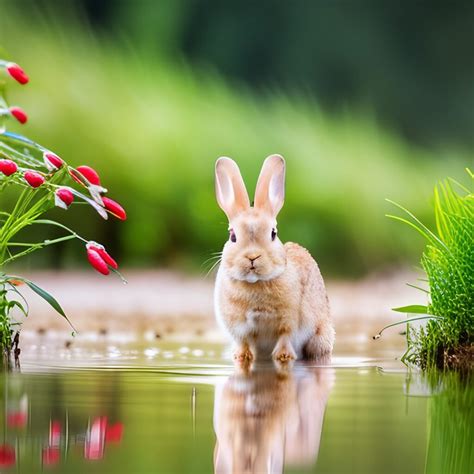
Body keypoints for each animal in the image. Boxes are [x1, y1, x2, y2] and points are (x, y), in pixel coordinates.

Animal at [213, 153, 336, 366]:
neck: (254, 284)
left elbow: (285, 338)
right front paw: (241, 357)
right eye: (232, 236)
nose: (252, 257)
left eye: (273, 233)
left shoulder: (289, 322)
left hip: (319, 338)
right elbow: (244, 344)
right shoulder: (240, 329)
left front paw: (283, 357)